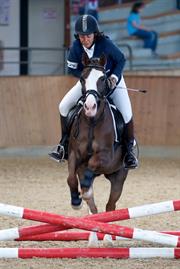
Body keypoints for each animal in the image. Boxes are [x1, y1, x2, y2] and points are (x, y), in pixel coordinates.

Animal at [66, 52, 128, 215]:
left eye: (102, 79)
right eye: (82, 78)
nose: (90, 107)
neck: (92, 122)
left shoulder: (105, 156)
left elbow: (92, 164)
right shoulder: (74, 153)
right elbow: (71, 178)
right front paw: (76, 201)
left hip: (119, 176)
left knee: (110, 204)